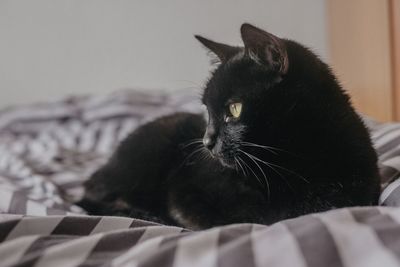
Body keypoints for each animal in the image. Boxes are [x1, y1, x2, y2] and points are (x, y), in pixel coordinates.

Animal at [78, 23, 382, 230]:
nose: (206, 142)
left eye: (234, 109)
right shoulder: (184, 194)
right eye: (207, 110)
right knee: (93, 197)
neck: (293, 162)